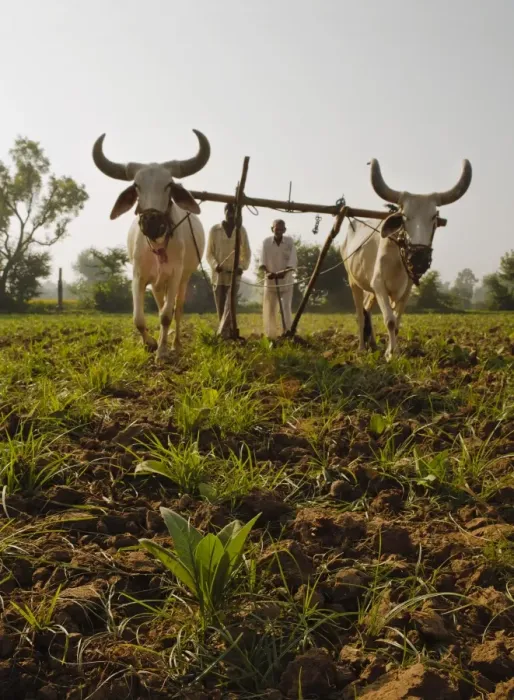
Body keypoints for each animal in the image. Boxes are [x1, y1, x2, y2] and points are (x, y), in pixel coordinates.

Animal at [92, 130, 210, 362]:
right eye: (137, 185)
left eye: (169, 184)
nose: (151, 222)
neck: (157, 246)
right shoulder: (138, 277)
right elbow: (138, 318)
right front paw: (150, 343)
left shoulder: (175, 276)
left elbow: (166, 315)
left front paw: (162, 351)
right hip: (157, 284)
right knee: (160, 304)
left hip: (184, 278)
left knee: (177, 310)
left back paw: (176, 344)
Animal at [341, 158, 472, 361]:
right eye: (404, 216)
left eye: (434, 217)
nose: (419, 257)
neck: (398, 257)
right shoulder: (379, 285)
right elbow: (390, 320)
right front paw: (392, 354)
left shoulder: (406, 290)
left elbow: (397, 321)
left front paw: (391, 350)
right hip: (353, 281)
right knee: (360, 314)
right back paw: (362, 347)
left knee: (366, 308)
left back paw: (373, 344)